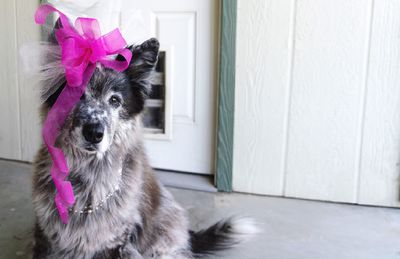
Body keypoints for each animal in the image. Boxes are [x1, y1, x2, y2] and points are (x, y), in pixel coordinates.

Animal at [32, 37, 256, 259]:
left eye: (115, 100)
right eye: (76, 94)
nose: (94, 133)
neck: (85, 182)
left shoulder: (118, 243)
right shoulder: (46, 239)